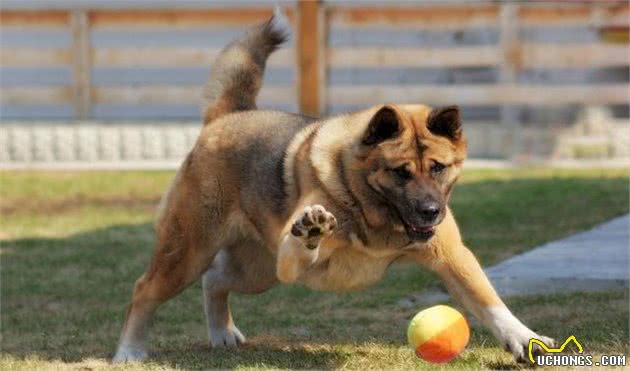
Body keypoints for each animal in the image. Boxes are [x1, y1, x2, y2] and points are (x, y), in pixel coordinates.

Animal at [112, 10, 552, 364]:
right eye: (400, 172)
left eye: (439, 168)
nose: (430, 212)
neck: (369, 210)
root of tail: (226, 117)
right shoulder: (292, 262)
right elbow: (303, 243)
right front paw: (312, 229)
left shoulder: (453, 256)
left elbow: (490, 301)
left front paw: (525, 340)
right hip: (191, 252)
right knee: (145, 289)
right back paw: (130, 351)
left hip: (257, 271)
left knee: (215, 280)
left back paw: (222, 333)